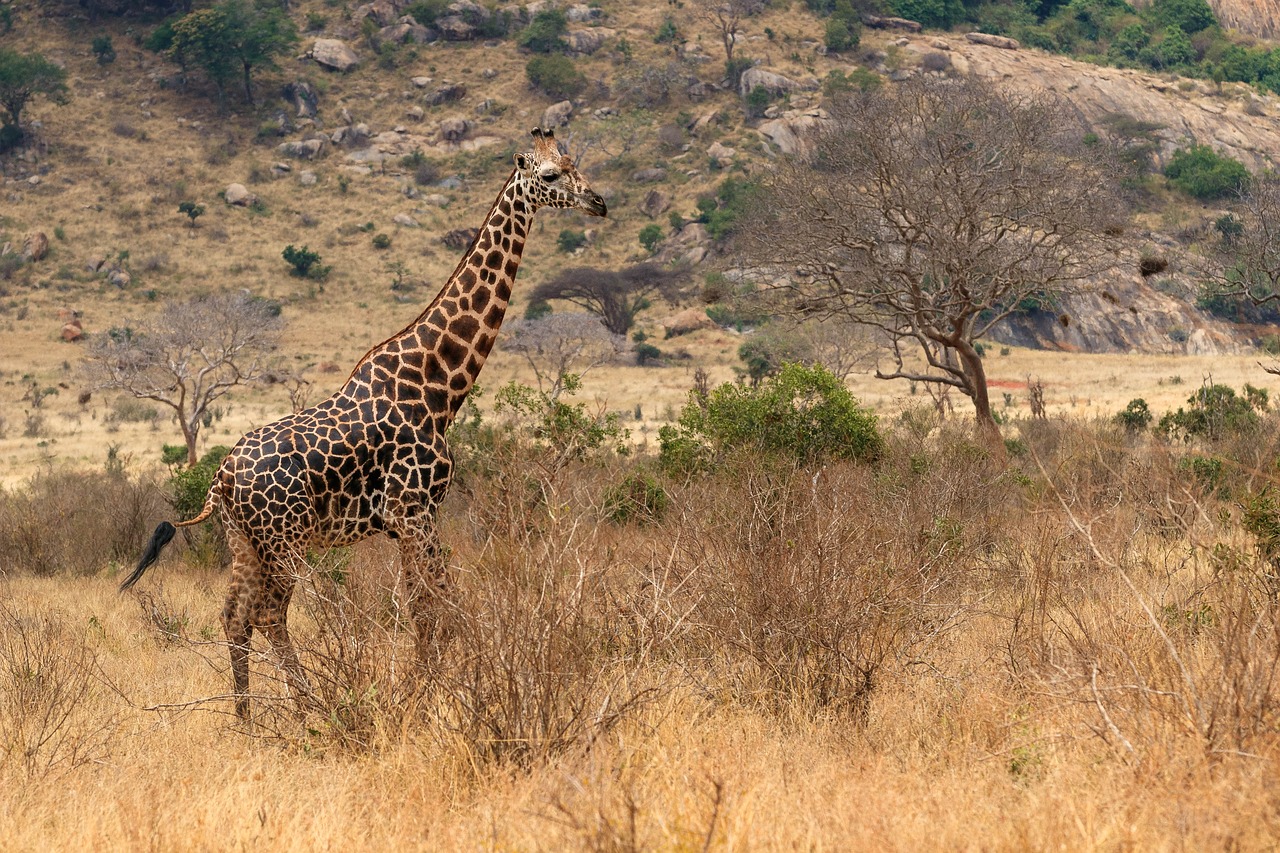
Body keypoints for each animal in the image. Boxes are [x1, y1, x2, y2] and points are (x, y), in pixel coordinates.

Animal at [120, 128, 604, 717]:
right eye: (551, 176)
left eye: (575, 162)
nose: (599, 202)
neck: (438, 386)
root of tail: (222, 481)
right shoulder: (415, 512)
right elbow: (436, 607)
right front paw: (438, 692)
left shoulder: (409, 521)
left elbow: (430, 606)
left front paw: (434, 687)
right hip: (285, 540)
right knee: (269, 614)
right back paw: (310, 707)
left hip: (243, 541)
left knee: (235, 615)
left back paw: (246, 717)